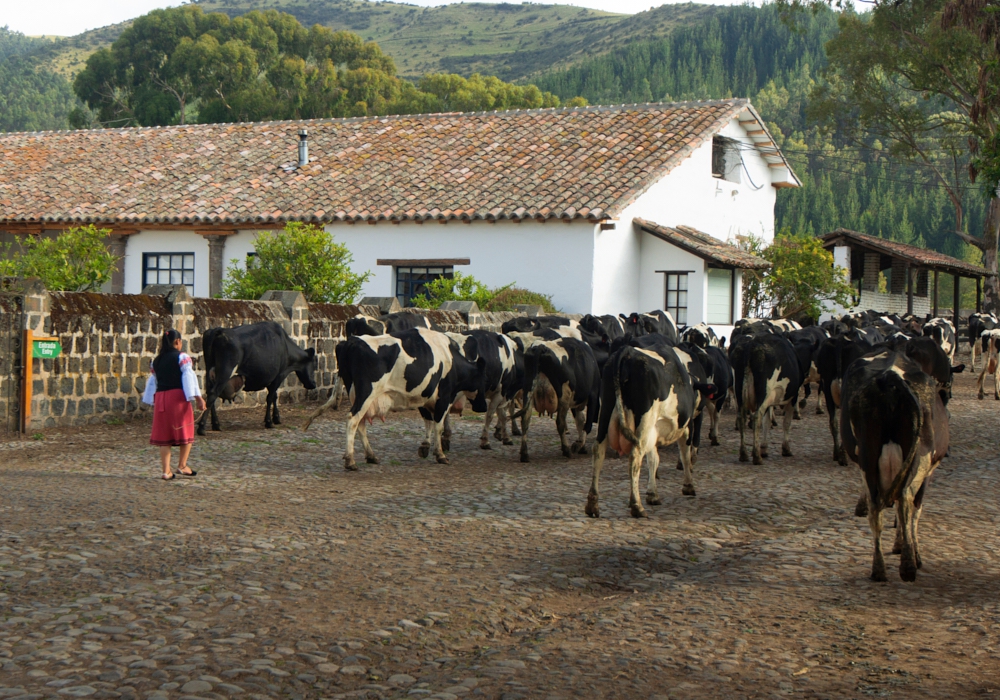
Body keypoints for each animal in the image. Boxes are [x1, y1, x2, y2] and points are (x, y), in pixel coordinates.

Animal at [308, 328, 488, 470]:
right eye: (483, 380)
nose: (483, 407)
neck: (450, 358)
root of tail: (351, 342)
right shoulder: (444, 396)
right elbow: (438, 425)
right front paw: (440, 455)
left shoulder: (423, 396)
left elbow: (429, 421)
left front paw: (426, 447)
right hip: (366, 394)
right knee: (353, 420)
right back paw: (350, 460)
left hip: (358, 396)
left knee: (361, 424)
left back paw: (371, 455)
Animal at [584, 340, 704, 520]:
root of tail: (628, 351)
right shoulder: (685, 426)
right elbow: (685, 455)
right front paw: (688, 486)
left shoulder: (653, 433)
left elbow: (653, 459)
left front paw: (652, 494)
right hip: (645, 420)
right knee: (635, 457)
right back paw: (636, 506)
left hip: (606, 412)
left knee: (598, 451)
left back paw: (592, 505)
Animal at [732, 332, 800, 464]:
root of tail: (751, 344)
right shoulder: (792, 397)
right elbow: (786, 422)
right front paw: (786, 449)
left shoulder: (770, 402)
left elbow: (767, 422)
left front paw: (764, 448)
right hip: (764, 392)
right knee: (757, 417)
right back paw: (756, 456)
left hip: (739, 390)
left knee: (741, 417)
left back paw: (744, 454)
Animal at [840, 342, 956, 584]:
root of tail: (890, 378)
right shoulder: (928, 472)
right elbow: (915, 511)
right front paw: (909, 549)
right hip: (920, 457)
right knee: (905, 499)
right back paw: (909, 566)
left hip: (867, 456)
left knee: (876, 507)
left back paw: (878, 569)